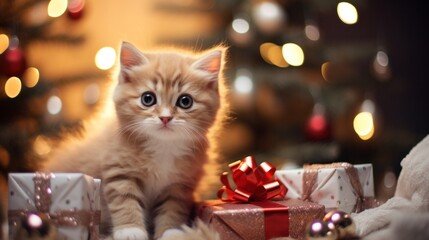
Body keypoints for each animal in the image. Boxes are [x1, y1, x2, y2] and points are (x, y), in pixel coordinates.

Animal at [43, 41, 227, 240]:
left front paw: (171, 232)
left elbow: (173, 208)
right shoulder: (119, 171)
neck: (162, 146)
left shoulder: (180, 184)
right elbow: (125, 201)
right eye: (148, 99)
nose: (165, 118)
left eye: (185, 101)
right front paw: (130, 231)